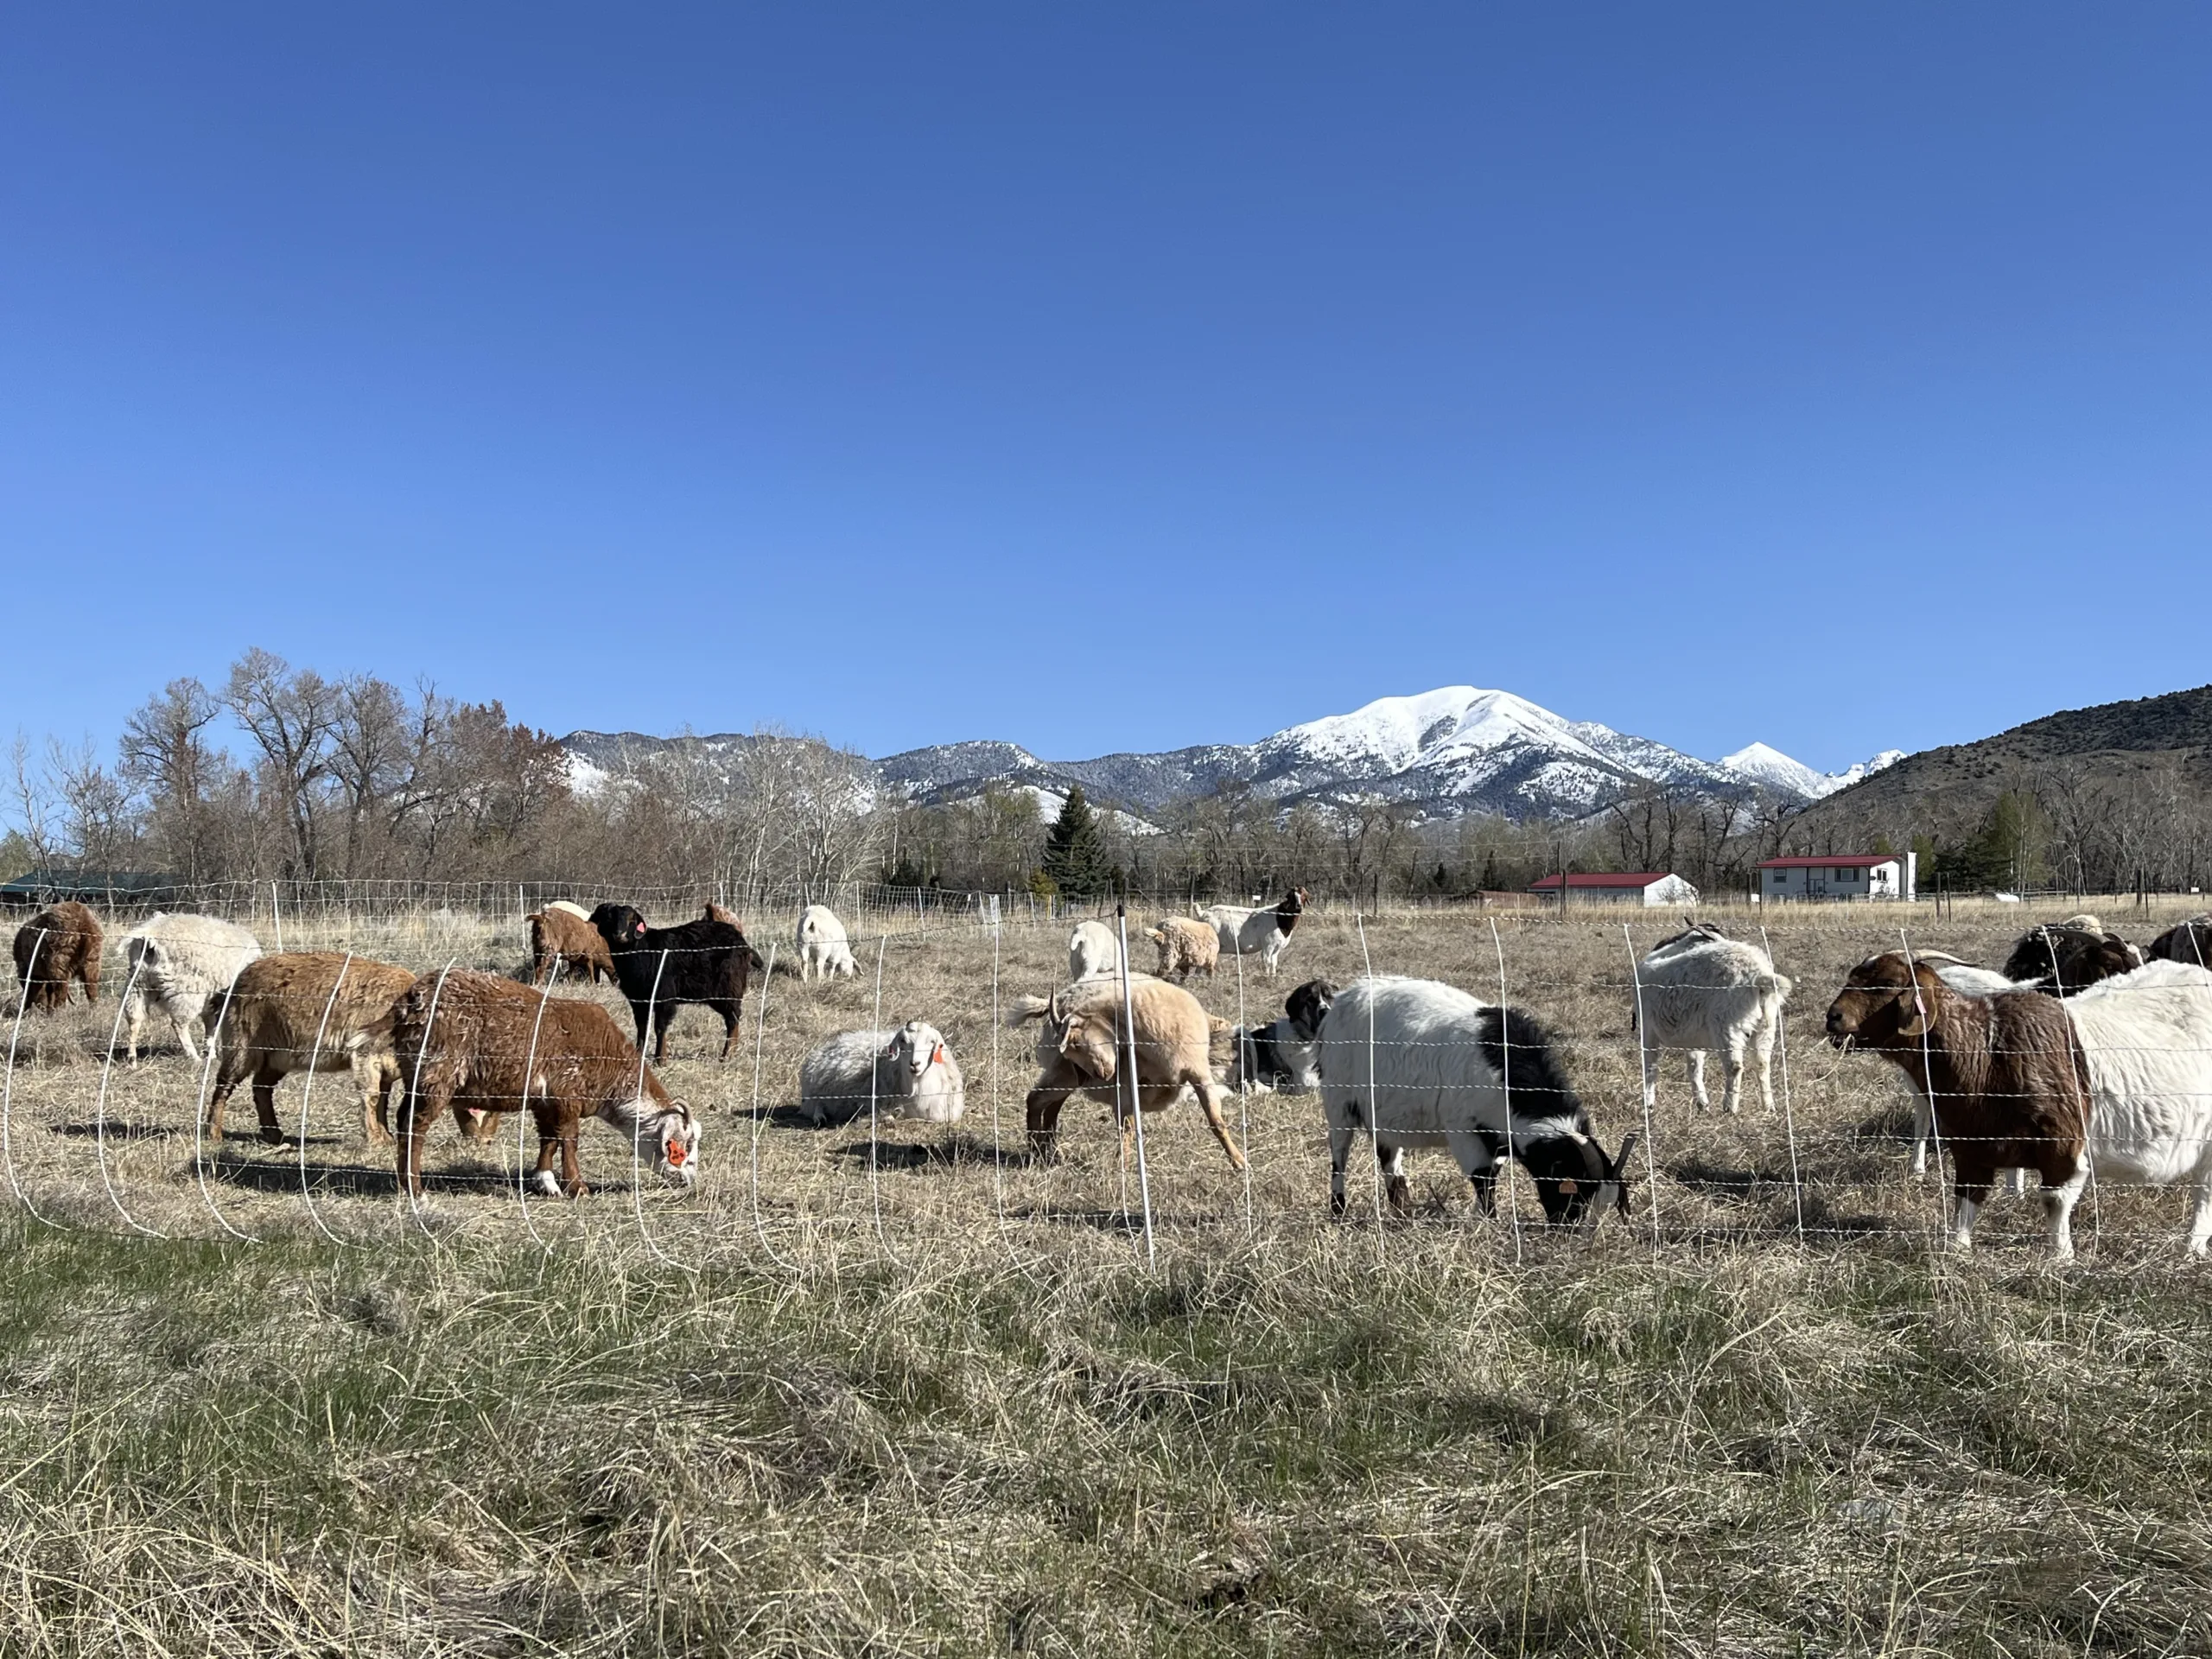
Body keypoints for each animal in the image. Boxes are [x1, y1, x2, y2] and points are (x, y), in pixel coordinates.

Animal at [117, 912, 262, 1063]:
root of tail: (149, 934)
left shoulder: (211, 1000)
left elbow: (210, 1024)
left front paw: (210, 1052)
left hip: (138, 981)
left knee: (134, 1018)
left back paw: (132, 1058)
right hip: (187, 990)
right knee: (178, 1024)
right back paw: (194, 1057)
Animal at [388, 969, 698, 1199]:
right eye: (682, 1148)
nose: (690, 1179)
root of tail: (411, 1001)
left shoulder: (545, 1103)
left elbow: (549, 1140)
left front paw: (545, 1181)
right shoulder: (567, 1097)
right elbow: (570, 1140)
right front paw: (577, 1187)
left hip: (414, 1074)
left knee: (403, 1119)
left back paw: (404, 1183)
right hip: (436, 1074)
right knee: (416, 1126)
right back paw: (415, 1188)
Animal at [798, 1021, 966, 1126]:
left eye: (931, 1041)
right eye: (903, 1040)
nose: (915, 1064)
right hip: (813, 1092)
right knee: (815, 1106)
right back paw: (820, 1118)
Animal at [1314, 976, 1635, 1224]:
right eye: (1574, 1191)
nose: (1572, 1233)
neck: (1502, 1065)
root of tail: (1343, 1000)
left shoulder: (1499, 1135)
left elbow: (1492, 1174)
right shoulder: (1463, 1129)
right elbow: (1483, 1178)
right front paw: (1489, 1223)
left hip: (1382, 1115)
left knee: (1389, 1159)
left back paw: (1401, 1211)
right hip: (1339, 1102)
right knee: (1339, 1155)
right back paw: (1338, 1210)